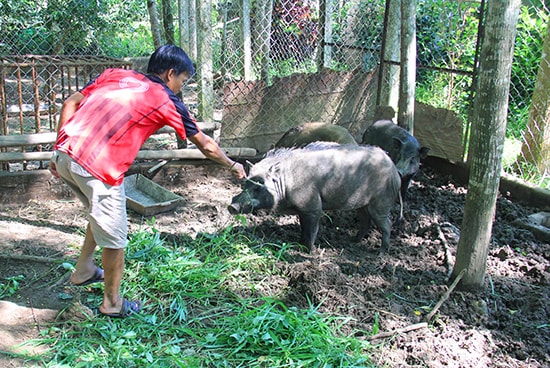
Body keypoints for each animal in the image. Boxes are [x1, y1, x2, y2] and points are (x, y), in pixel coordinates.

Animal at [226, 142, 404, 252]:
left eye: (258, 187)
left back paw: (382, 252)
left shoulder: (313, 208)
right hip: (363, 205)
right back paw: (353, 242)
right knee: (365, 222)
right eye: (245, 184)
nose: (231, 206)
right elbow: (303, 228)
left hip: (380, 203)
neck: (287, 182)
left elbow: (312, 230)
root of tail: (394, 169)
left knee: (386, 224)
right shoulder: (302, 210)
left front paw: (310, 251)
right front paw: (298, 243)